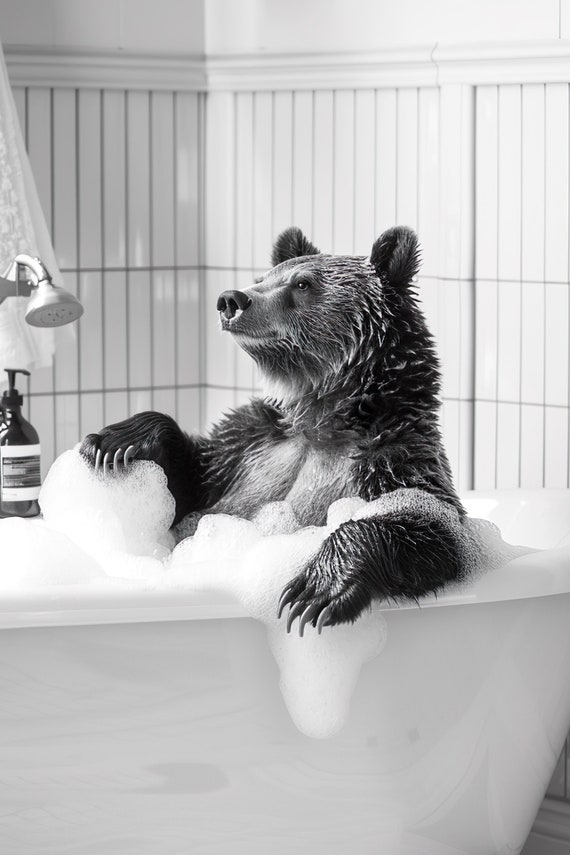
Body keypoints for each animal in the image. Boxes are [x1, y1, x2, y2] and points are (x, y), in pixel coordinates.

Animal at [79, 225, 466, 634]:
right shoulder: (249, 448)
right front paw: (113, 442)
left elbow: (426, 525)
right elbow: (187, 484)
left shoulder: (392, 457)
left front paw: (316, 589)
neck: (321, 421)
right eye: (263, 277)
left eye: (302, 283)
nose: (231, 299)